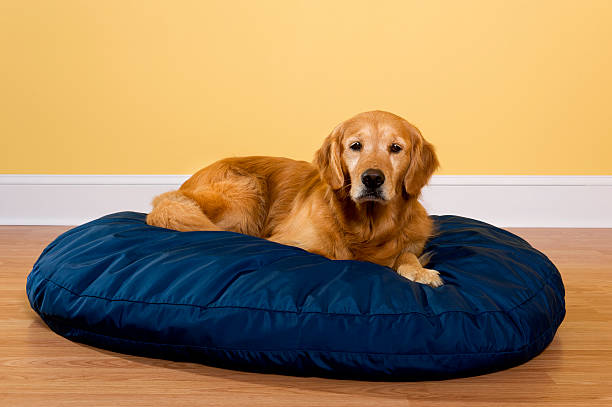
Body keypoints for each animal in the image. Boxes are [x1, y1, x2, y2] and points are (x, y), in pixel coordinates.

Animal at [146, 110, 442, 286]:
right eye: (356, 146)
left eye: (396, 148)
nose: (372, 178)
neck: (367, 228)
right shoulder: (289, 242)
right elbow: (328, 255)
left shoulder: (410, 243)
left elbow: (407, 255)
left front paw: (420, 271)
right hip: (246, 191)